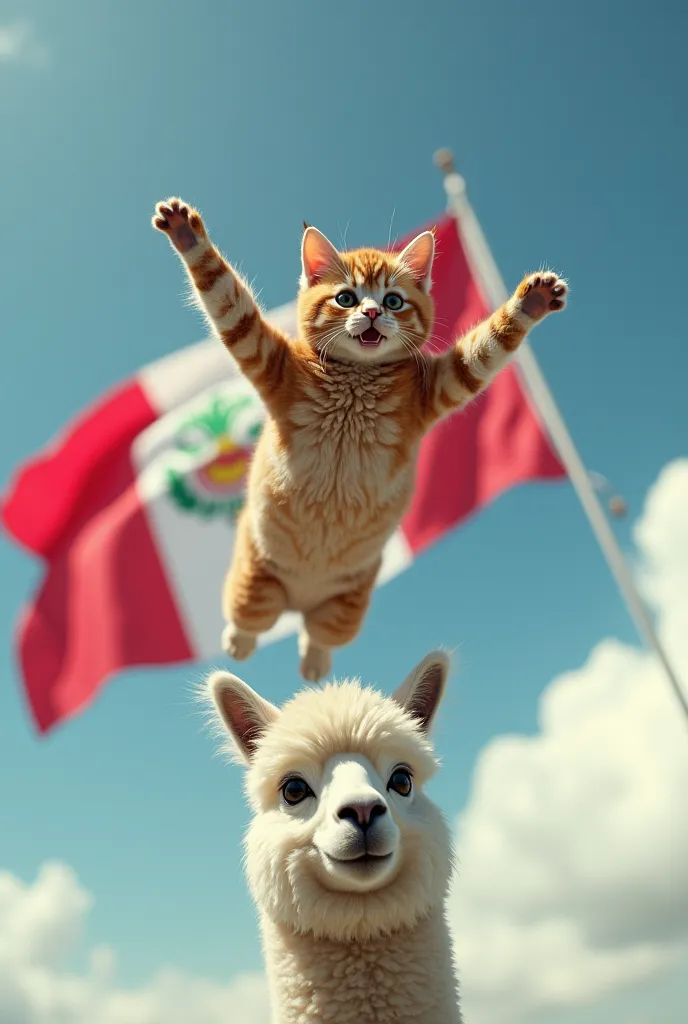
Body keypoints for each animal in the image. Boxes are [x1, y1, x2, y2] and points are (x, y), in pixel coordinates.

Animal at [153, 198, 565, 679]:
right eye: (346, 297)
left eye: (393, 300)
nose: (370, 313)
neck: (356, 379)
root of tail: (299, 602)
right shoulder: (265, 354)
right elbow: (224, 294)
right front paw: (187, 235)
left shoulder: (442, 383)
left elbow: (487, 346)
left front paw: (530, 302)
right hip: (255, 585)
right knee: (249, 621)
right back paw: (238, 642)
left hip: (343, 606)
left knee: (317, 636)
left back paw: (314, 664)